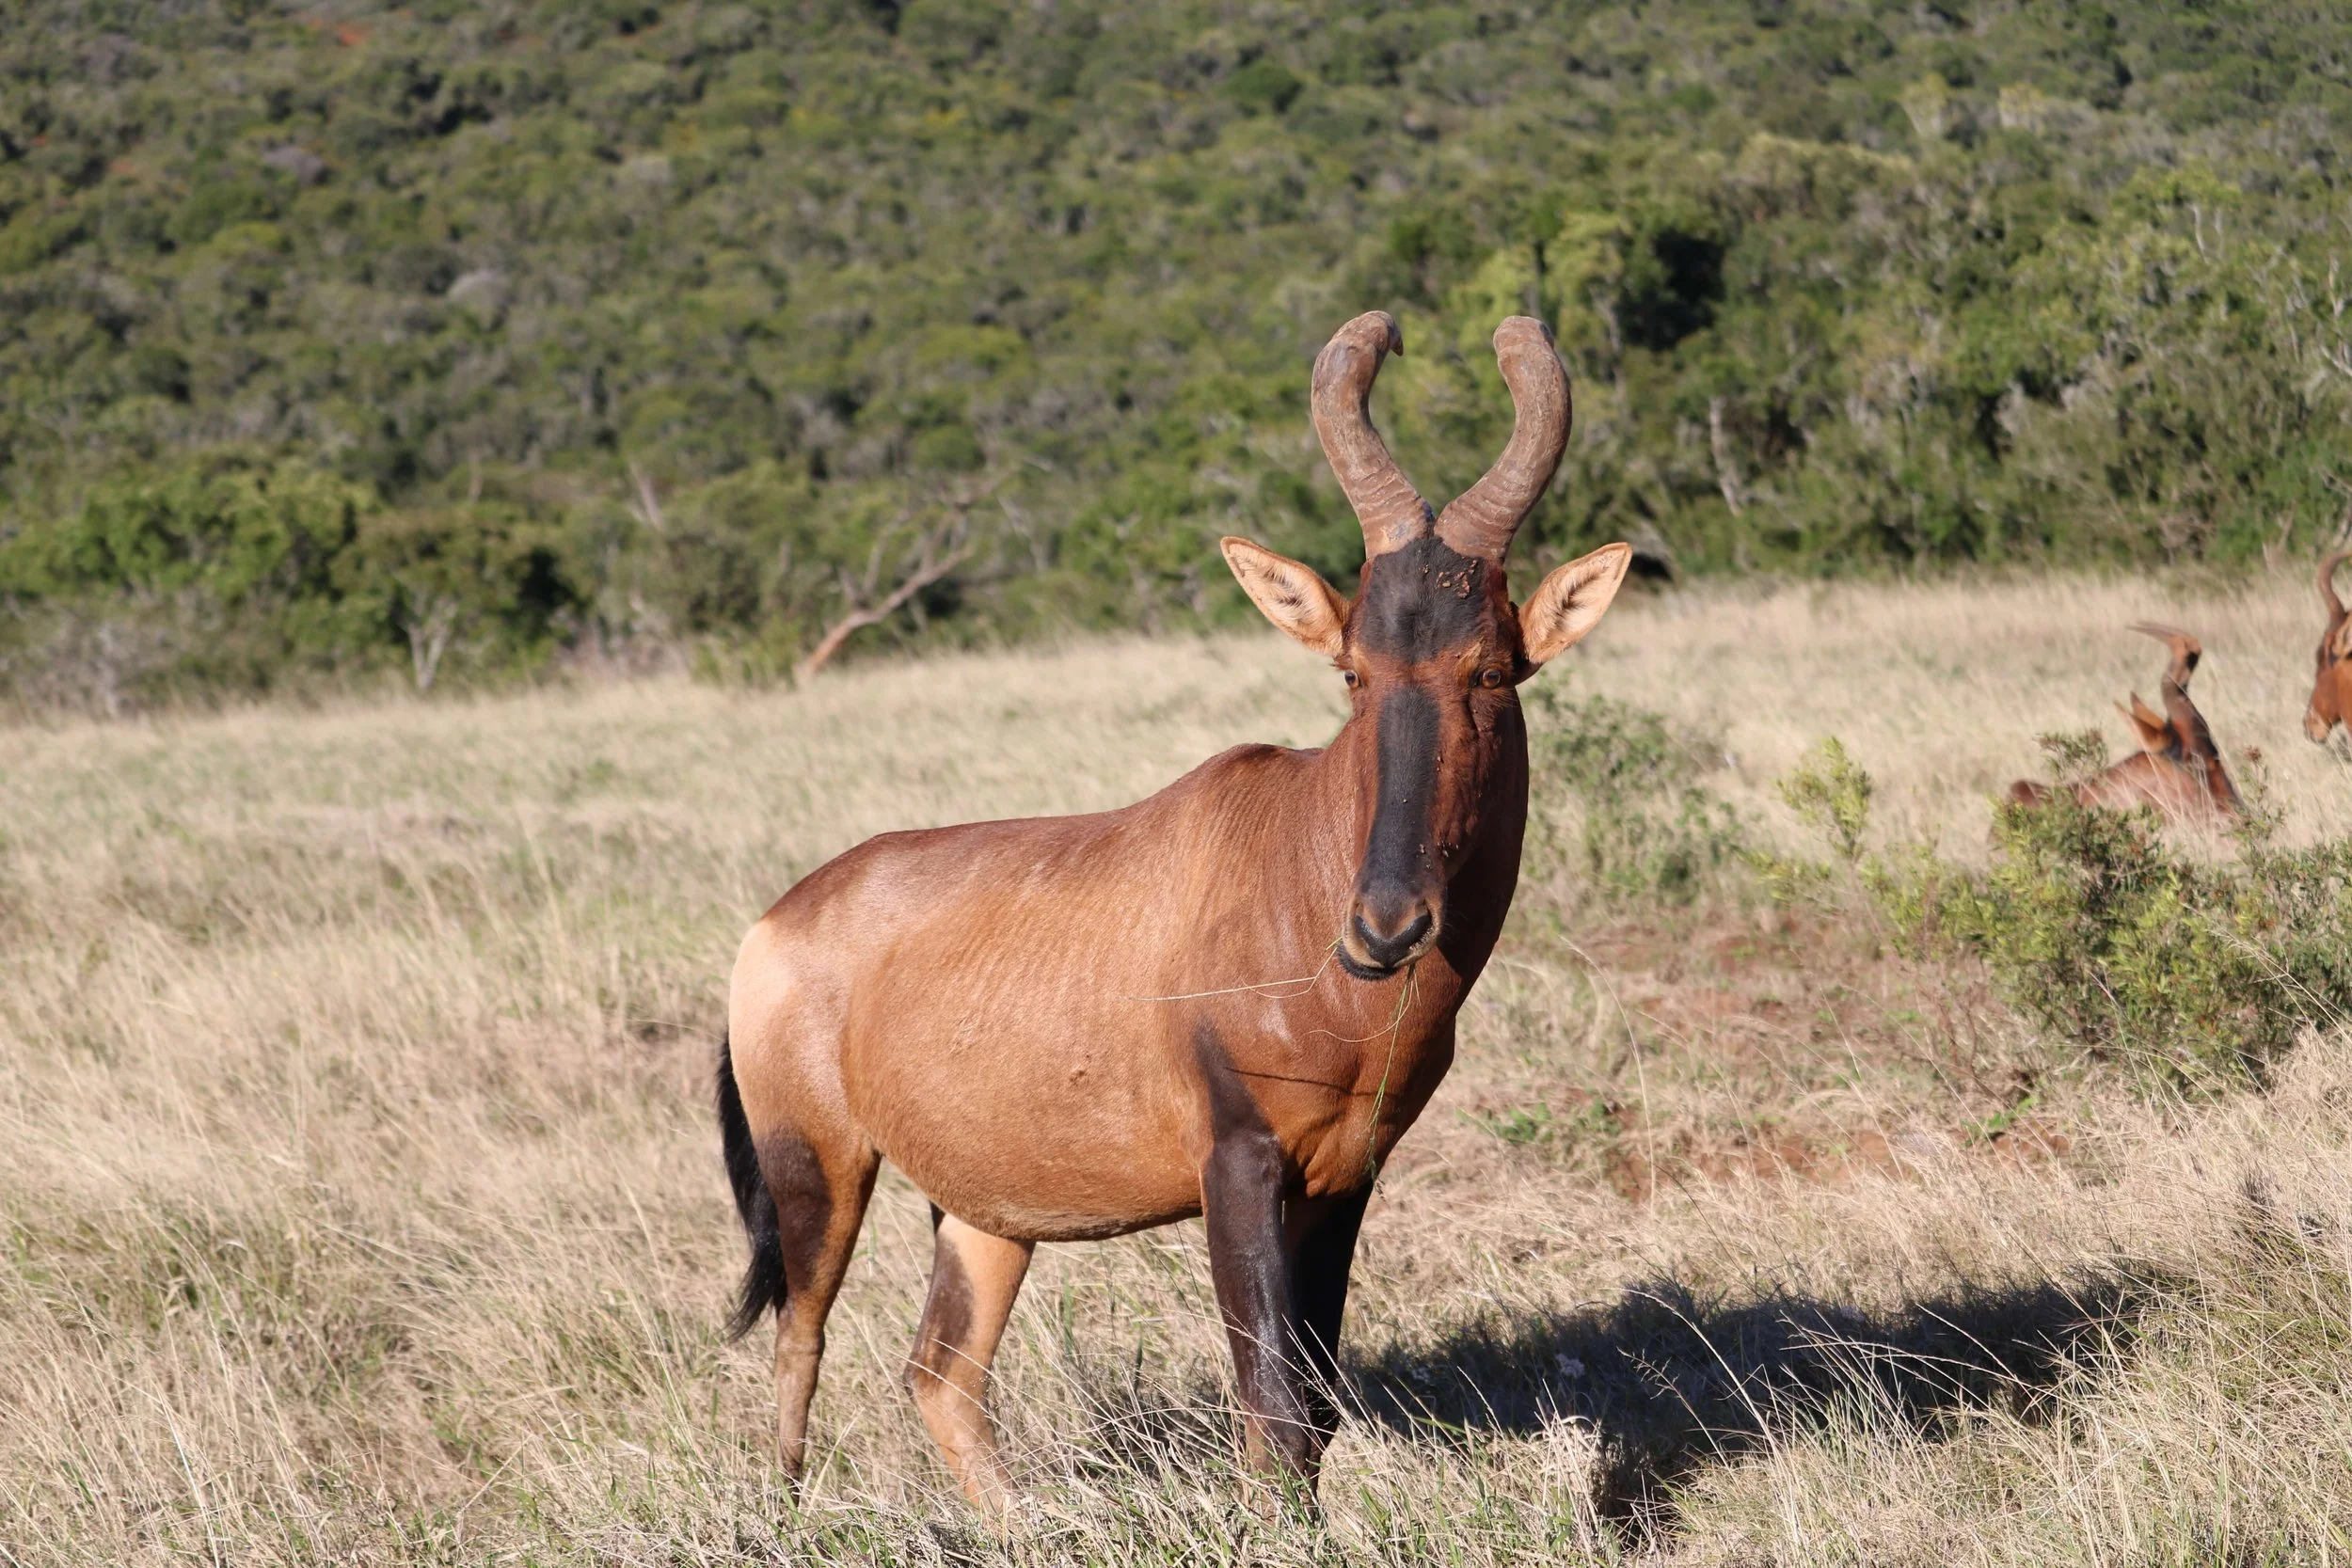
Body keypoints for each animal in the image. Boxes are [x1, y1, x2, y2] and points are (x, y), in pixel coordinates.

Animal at [717, 313, 1631, 1514]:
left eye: (1488, 669)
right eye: (1353, 667)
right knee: (800, 1342)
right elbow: (1271, 1408)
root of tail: (772, 924)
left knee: (941, 1373)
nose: (1385, 927)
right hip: (818, 1166)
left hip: (985, 1213)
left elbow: (1314, 1408)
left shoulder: (1343, 1177)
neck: (1292, 859)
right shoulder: (1235, 1162)